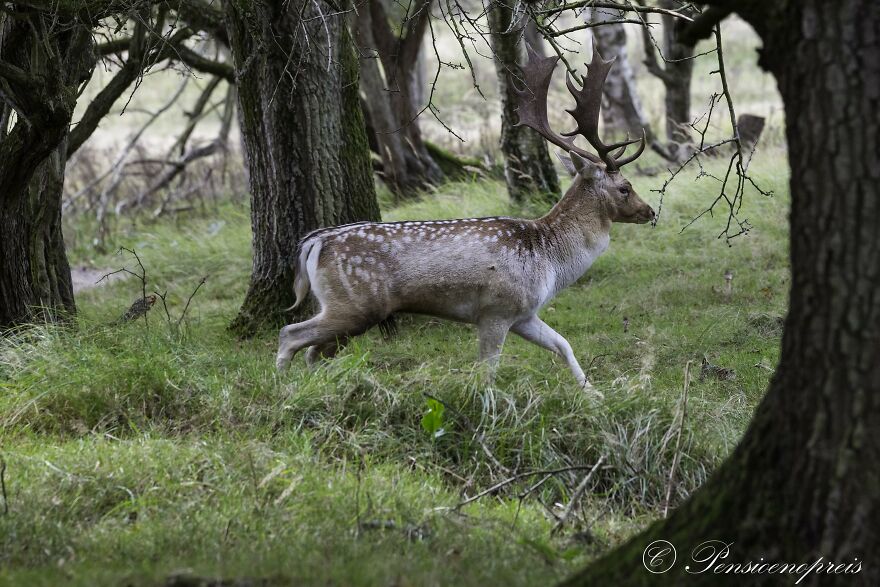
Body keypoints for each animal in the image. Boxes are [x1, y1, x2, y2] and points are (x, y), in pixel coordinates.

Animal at [275, 48, 655, 391]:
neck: (550, 260)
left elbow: (563, 344)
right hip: (354, 304)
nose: (650, 211)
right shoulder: (496, 309)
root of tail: (315, 242)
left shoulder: (524, 313)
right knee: (290, 334)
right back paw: (285, 389)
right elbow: (487, 369)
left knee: (313, 351)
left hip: (346, 309)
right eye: (624, 187)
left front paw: (592, 393)